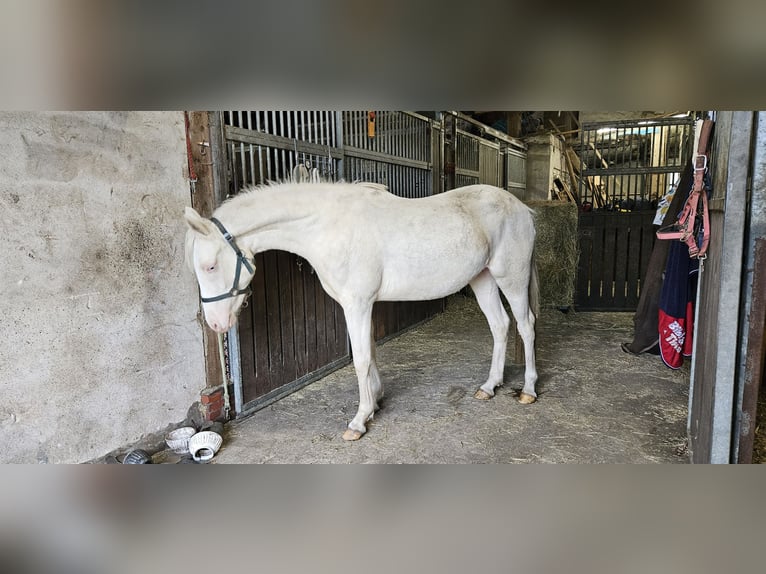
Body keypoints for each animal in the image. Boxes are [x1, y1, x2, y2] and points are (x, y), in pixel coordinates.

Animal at [186, 182, 540, 444]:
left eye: (211, 266)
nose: (216, 323)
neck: (328, 224)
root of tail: (522, 208)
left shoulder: (357, 303)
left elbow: (360, 359)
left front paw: (359, 420)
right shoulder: (362, 304)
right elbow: (370, 351)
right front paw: (376, 402)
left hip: (512, 277)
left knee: (526, 326)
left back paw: (528, 390)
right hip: (483, 278)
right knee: (500, 325)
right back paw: (489, 386)